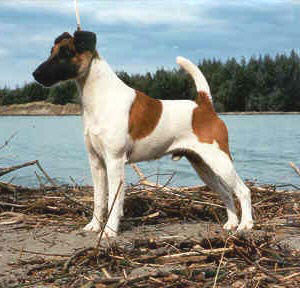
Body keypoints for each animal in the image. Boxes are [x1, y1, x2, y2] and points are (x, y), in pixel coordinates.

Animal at [32, 30, 253, 237]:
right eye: (51, 51)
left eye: (66, 53)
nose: (35, 74)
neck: (100, 98)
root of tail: (204, 106)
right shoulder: (96, 162)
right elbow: (99, 199)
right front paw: (94, 226)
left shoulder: (114, 162)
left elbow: (114, 201)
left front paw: (110, 231)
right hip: (203, 166)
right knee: (226, 193)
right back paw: (231, 223)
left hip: (220, 162)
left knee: (243, 191)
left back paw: (246, 225)